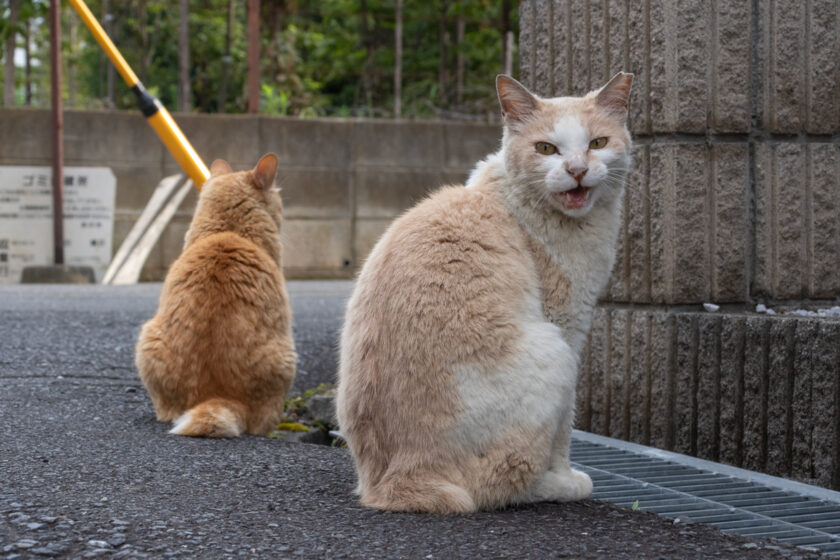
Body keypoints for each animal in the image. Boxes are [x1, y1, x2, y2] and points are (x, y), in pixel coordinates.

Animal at [334, 73, 632, 512]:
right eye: (546, 149)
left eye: (597, 143)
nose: (577, 170)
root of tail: (397, 479)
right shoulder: (569, 326)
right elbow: (565, 430)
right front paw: (565, 476)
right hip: (553, 352)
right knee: (498, 485)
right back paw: (554, 487)